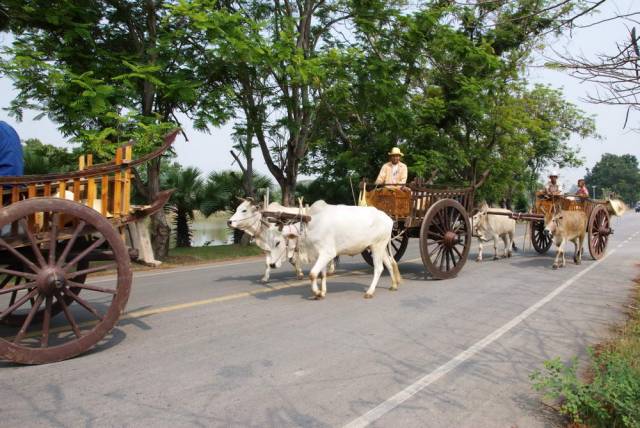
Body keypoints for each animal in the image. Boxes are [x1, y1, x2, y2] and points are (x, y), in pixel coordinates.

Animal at [268, 200, 402, 298]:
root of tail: (389, 219)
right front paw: (322, 292)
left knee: (379, 268)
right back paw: (394, 285)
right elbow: (322, 274)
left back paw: (370, 291)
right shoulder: (320, 254)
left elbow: (313, 274)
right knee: (389, 264)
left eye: (278, 242)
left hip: (377, 247)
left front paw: (317, 292)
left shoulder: (327, 253)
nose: (272, 265)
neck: (309, 227)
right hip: (380, 247)